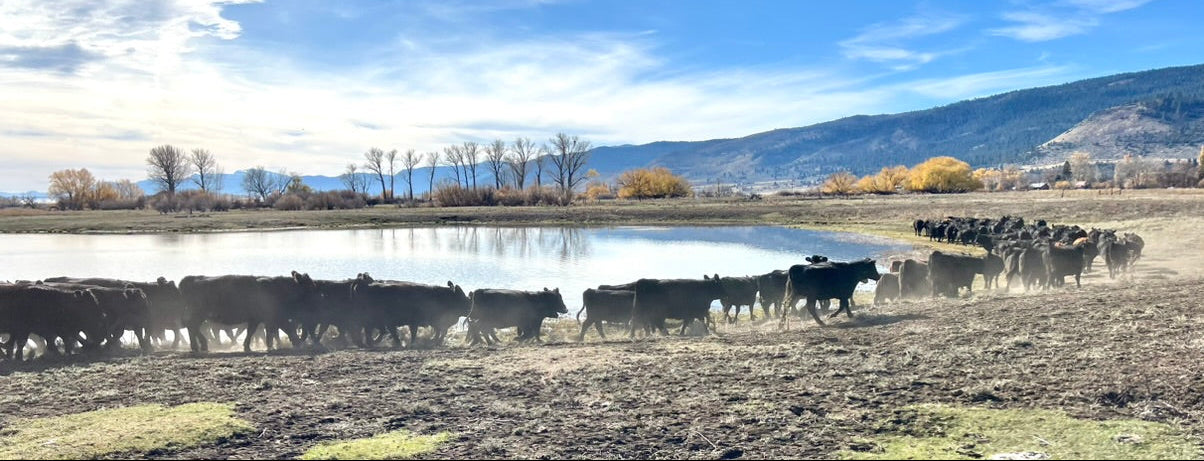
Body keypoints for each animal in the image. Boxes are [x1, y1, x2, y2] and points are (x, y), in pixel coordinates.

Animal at [178, 271, 319, 353]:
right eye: (310, 286)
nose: (318, 298)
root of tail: (191, 279)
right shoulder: (273, 317)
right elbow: (282, 330)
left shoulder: (258, 318)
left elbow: (253, 331)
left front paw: (248, 346)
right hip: (198, 313)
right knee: (192, 326)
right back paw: (202, 345)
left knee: (191, 327)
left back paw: (196, 347)